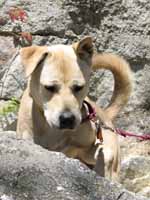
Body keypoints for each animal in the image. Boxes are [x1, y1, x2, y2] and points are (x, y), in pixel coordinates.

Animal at [16, 36, 132, 180]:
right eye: (49, 87)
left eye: (79, 87)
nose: (67, 119)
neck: (53, 132)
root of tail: (105, 115)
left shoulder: (91, 145)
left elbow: (103, 155)